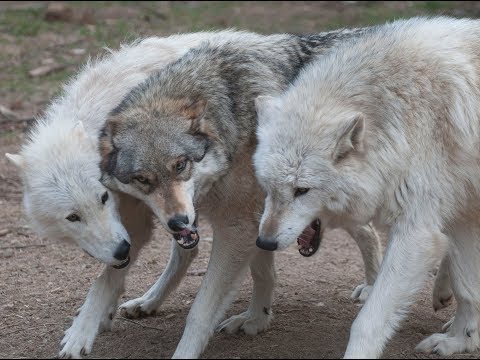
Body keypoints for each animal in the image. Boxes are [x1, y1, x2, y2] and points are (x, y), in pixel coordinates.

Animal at [4, 29, 382, 358]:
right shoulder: (221, 222)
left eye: (180, 165)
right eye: (72, 217)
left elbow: (197, 307)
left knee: (369, 231)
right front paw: (89, 325)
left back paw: (371, 288)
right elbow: (109, 277)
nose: (178, 221)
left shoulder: (226, 224)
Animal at [255, 16, 480, 360]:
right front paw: (460, 341)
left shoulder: (417, 234)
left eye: (302, 190)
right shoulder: (461, 216)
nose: (264, 242)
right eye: (268, 187)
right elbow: (468, 287)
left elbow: (367, 321)